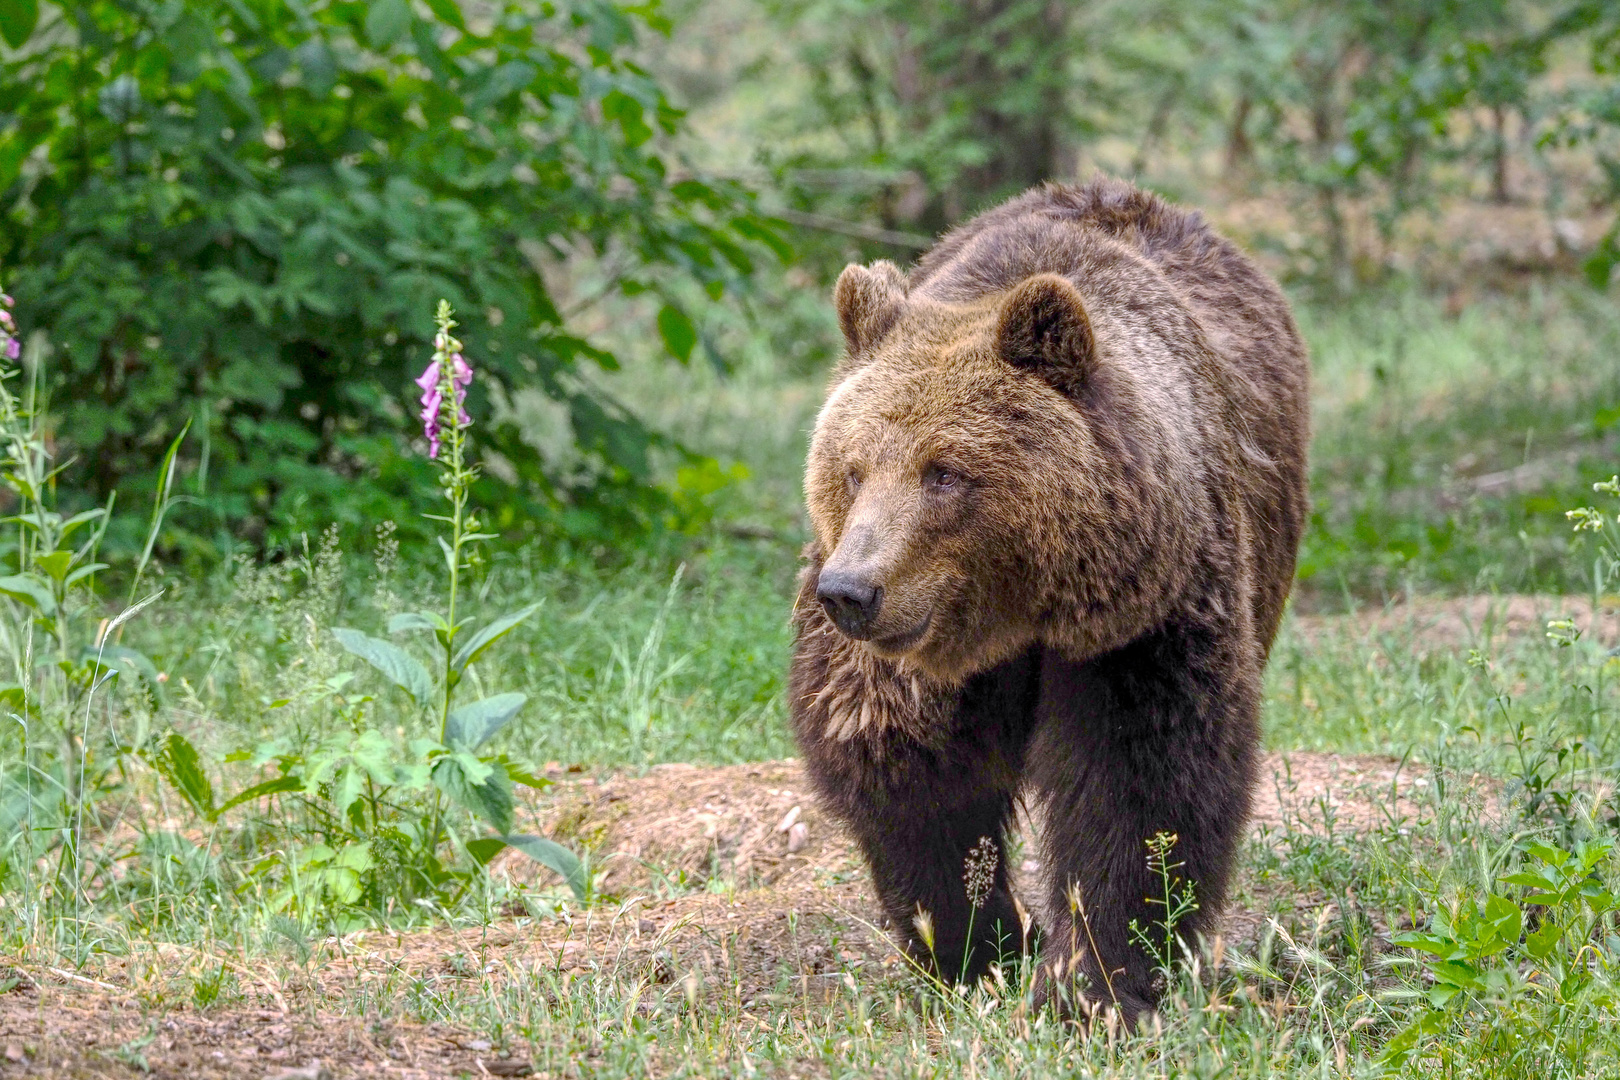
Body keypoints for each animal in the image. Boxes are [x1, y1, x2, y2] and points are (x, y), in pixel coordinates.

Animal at [790, 177, 1308, 1023]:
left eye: (944, 472)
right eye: (853, 469)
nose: (850, 592)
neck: (1019, 617)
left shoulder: (1145, 619)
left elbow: (1140, 786)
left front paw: (1096, 979)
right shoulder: (907, 654)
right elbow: (908, 769)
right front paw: (976, 946)